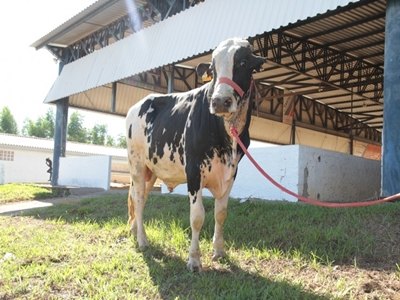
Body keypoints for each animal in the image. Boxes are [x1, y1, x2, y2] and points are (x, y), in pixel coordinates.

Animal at [126, 38, 264, 272]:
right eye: (213, 69)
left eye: (244, 62)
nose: (219, 101)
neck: (227, 136)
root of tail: (138, 104)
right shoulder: (193, 170)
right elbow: (197, 216)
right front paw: (194, 260)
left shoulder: (231, 172)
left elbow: (221, 214)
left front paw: (219, 251)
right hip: (136, 164)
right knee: (138, 198)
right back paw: (142, 241)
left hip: (151, 170)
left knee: (140, 199)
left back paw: (136, 232)